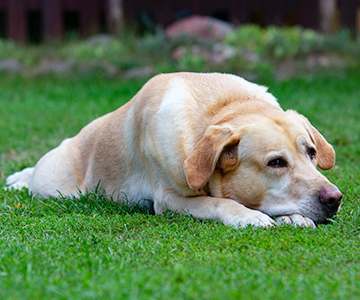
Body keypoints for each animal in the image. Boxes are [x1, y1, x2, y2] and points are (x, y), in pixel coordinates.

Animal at [6, 72, 344, 227]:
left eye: (311, 153)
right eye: (276, 162)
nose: (335, 199)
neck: (220, 109)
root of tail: (72, 140)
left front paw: (293, 217)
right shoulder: (169, 199)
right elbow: (219, 203)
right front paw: (249, 216)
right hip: (54, 186)